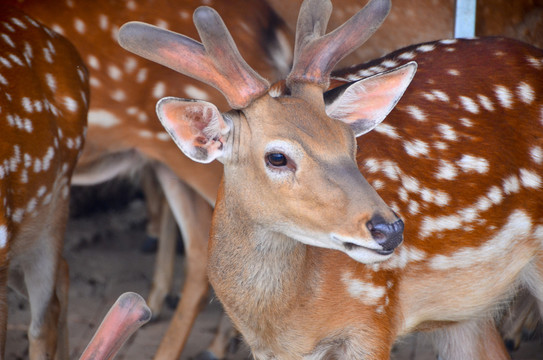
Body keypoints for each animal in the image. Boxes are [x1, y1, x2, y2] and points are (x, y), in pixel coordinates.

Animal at [120, 0, 543, 358]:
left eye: (350, 141)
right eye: (277, 157)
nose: (389, 229)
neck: (288, 322)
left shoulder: (374, 318)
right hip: (465, 312)